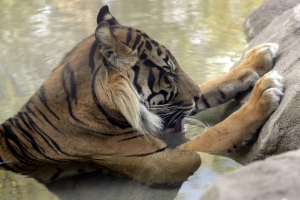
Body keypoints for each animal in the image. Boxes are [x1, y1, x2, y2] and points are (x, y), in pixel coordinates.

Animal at [0, 5, 284, 188]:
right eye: (168, 72)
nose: (195, 95)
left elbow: (212, 85)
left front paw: (258, 57)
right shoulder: (160, 161)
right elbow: (216, 134)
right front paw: (263, 93)